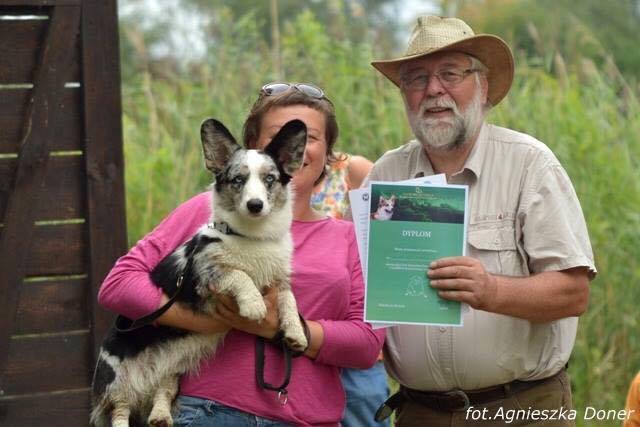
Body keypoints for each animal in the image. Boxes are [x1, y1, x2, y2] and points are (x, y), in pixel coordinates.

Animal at [91, 118, 308, 427]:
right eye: (237, 180)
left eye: (270, 179)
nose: (255, 205)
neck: (252, 237)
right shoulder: (206, 274)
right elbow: (239, 274)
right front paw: (254, 306)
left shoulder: (278, 280)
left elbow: (290, 299)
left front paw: (296, 334)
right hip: (116, 379)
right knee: (118, 410)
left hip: (173, 371)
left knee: (163, 390)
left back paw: (160, 416)